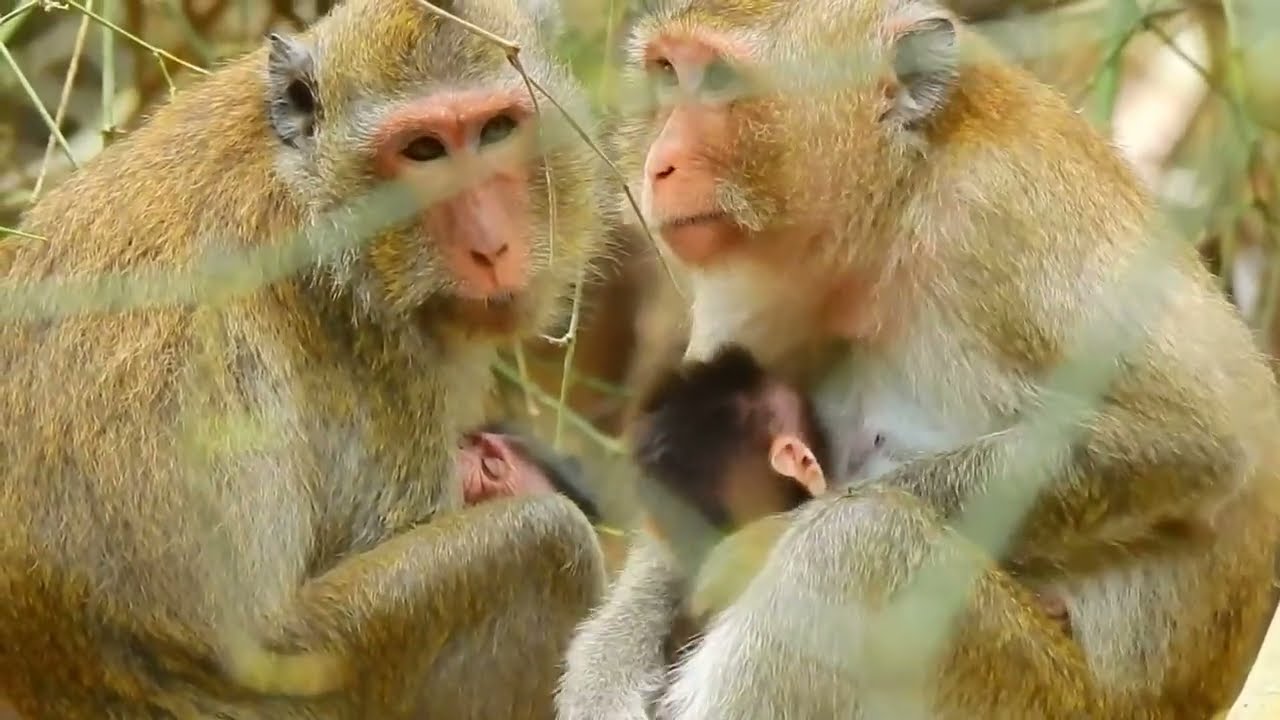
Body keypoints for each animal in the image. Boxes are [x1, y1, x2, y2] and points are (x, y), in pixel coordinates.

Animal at [556, 0, 1280, 718]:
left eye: (719, 81)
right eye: (667, 73)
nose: (658, 165)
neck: (900, 199)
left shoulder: (996, 213)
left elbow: (1193, 442)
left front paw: (755, 547)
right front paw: (604, 674)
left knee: (854, 541)